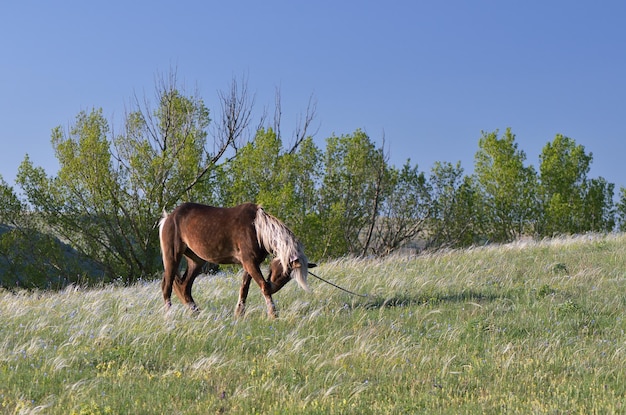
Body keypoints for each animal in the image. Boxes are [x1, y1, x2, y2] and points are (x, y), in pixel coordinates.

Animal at [158, 202, 314, 318]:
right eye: (285, 273)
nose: (273, 287)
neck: (257, 228)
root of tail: (169, 217)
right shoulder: (250, 262)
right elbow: (263, 286)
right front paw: (273, 315)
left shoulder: (250, 264)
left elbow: (244, 288)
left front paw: (239, 313)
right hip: (172, 256)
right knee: (167, 286)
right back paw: (169, 315)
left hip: (196, 261)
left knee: (185, 287)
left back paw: (197, 313)